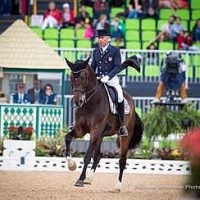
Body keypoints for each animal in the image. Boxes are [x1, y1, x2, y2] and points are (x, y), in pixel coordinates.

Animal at [65, 55, 143, 191]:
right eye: (71, 78)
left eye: (83, 77)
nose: (78, 101)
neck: (90, 102)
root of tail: (130, 99)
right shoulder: (81, 130)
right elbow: (67, 138)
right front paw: (71, 165)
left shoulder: (95, 131)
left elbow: (87, 156)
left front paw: (80, 179)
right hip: (101, 136)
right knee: (98, 156)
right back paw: (89, 179)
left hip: (124, 136)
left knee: (122, 160)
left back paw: (118, 186)